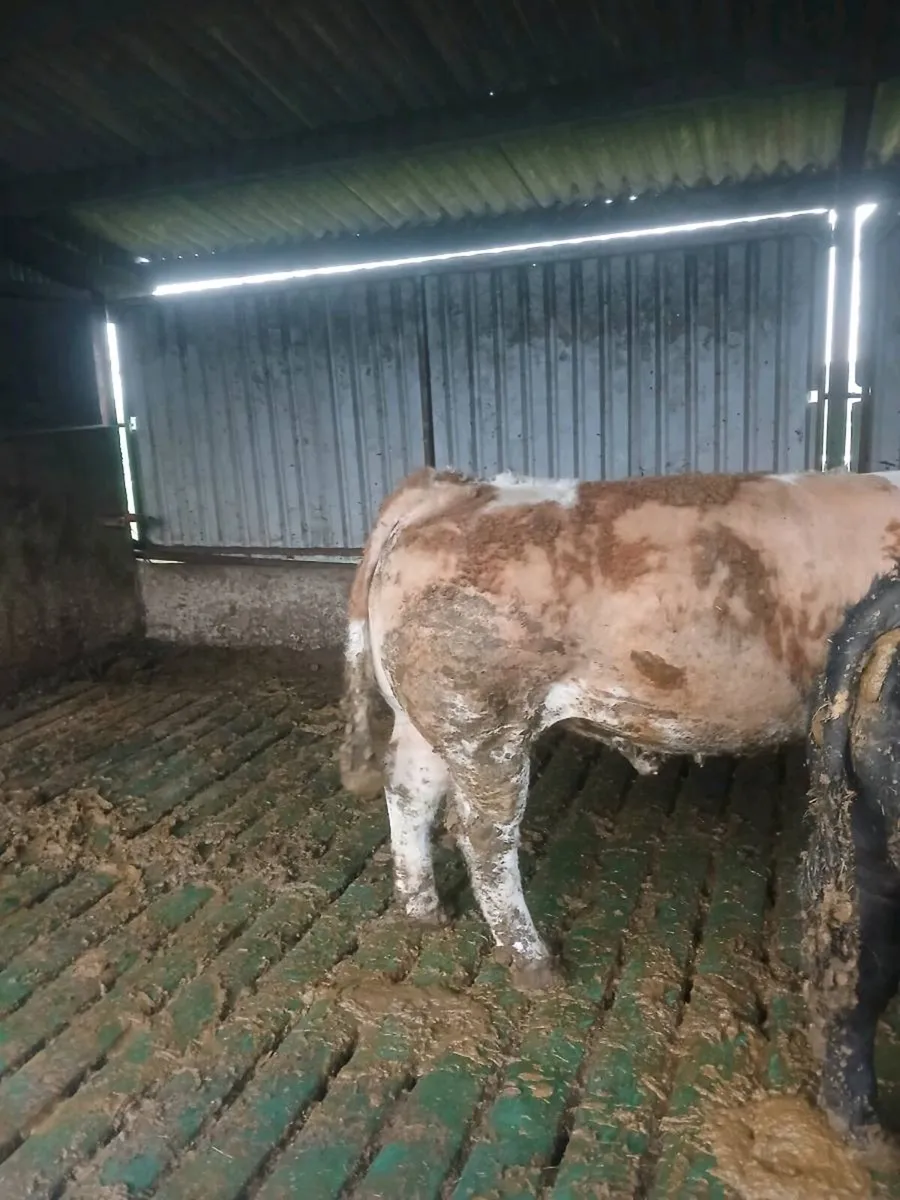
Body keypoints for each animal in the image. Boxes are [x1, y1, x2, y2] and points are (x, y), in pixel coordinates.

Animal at [339, 465, 900, 988]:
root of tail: (450, 490)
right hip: (485, 727)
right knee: (484, 837)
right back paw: (533, 961)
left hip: (428, 723)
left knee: (408, 790)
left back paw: (423, 909)